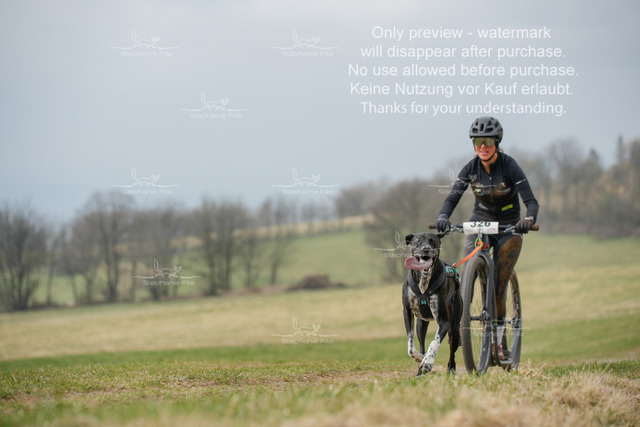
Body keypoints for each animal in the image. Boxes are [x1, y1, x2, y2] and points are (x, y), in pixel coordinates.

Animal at [402, 232, 462, 376]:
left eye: (432, 241)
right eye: (418, 241)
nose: (426, 249)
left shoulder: (444, 322)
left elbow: (435, 342)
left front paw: (428, 362)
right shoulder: (407, 311)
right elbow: (410, 345)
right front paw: (420, 358)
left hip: (454, 327)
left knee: (452, 352)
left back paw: (451, 370)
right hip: (421, 324)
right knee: (421, 342)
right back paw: (420, 368)